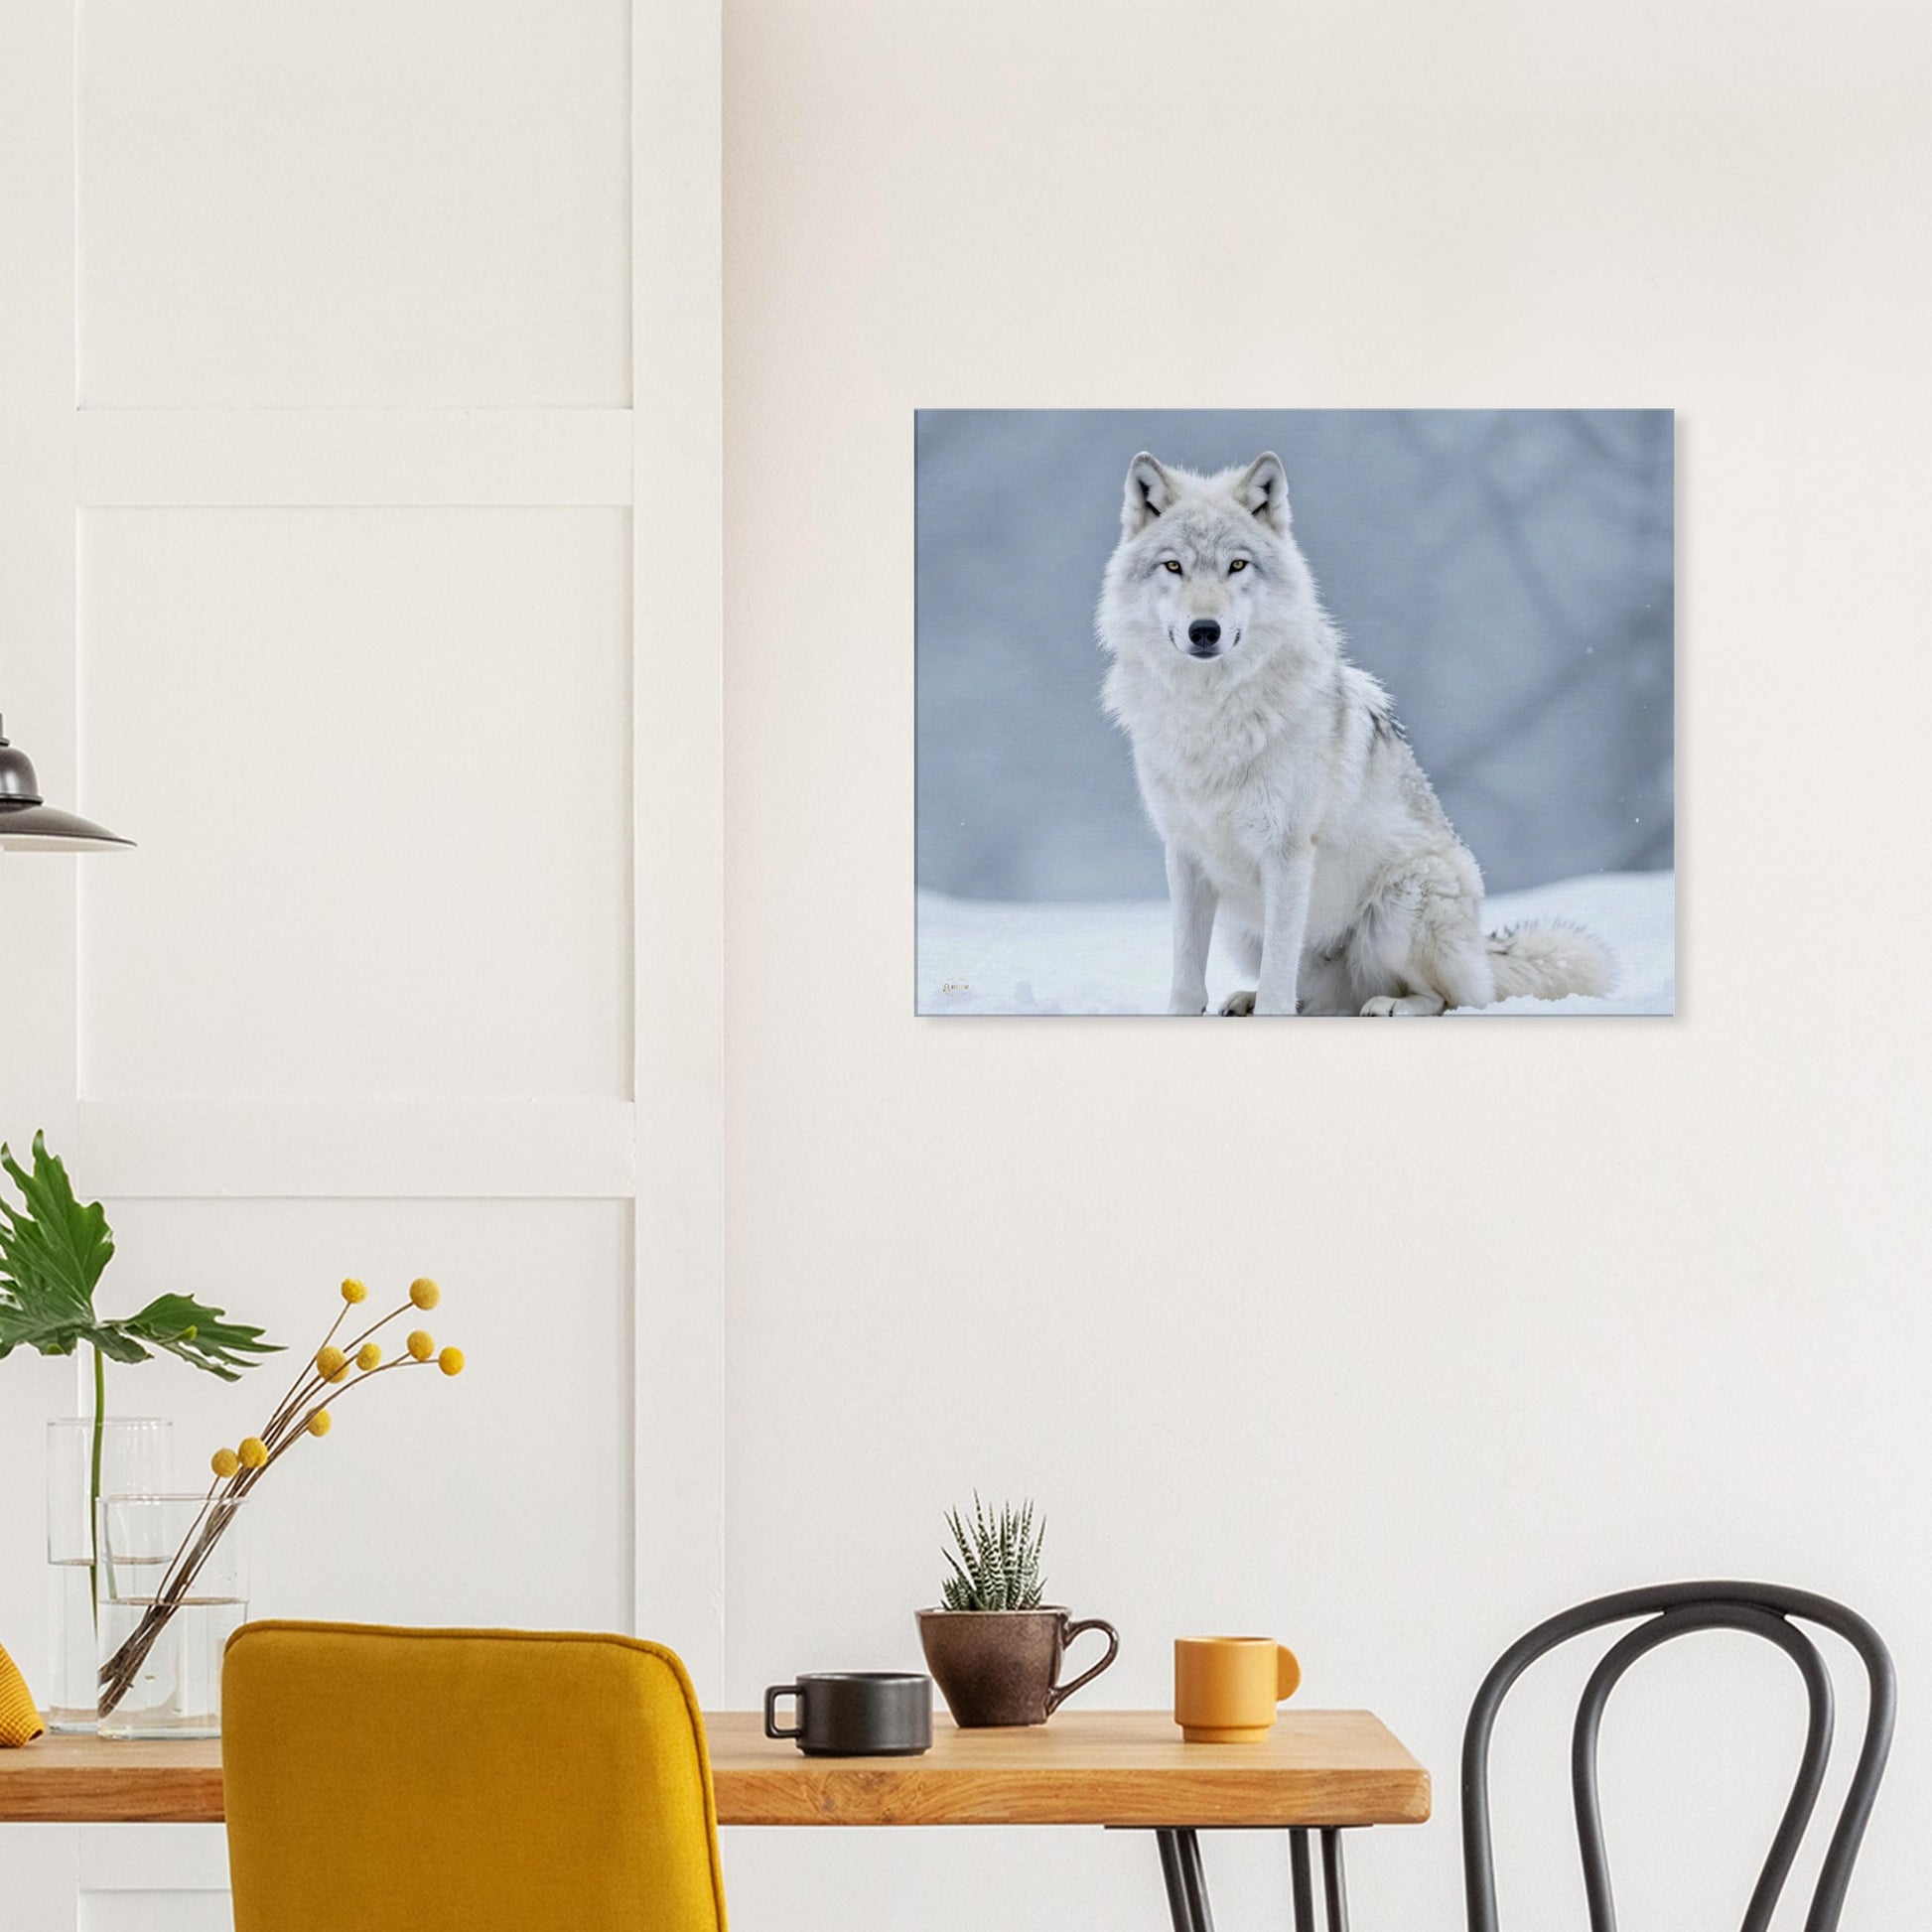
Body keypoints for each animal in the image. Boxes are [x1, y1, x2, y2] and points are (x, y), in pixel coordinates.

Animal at [1097, 451, 1612, 1015]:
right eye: (1174, 566)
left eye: (1237, 565)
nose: (1205, 630)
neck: (1211, 713)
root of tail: (1483, 946)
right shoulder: (1185, 854)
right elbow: (1190, 977)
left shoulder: (1288, 852)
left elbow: (1279, 975)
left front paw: (1270, 1011)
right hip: (1243, 928)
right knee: (1311, 996)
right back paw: (1251, 999)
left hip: (1401, 904)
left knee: (1450, 998)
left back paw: (1391, 1005)